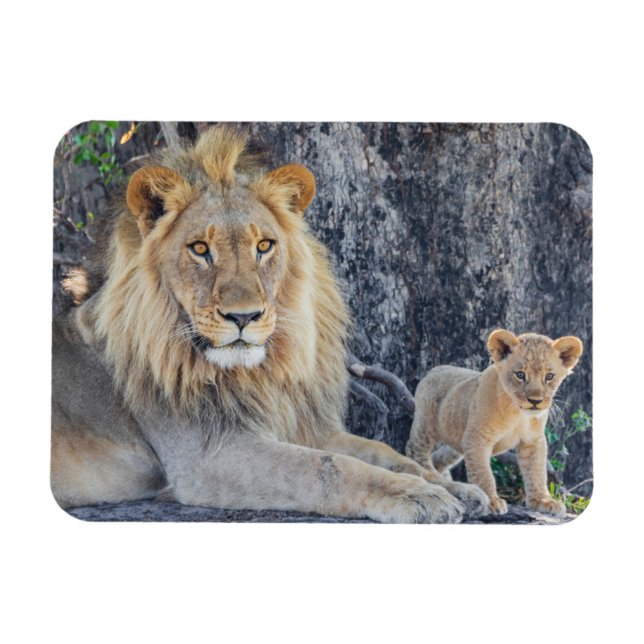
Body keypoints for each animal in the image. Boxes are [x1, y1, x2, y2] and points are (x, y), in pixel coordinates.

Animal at [51, 125, 488, 523]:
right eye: (199, 249)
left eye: (263, 246)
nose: (243, 317)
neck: (256, 375)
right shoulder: (209, 456)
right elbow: (328, 467)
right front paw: (418, 495)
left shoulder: (304, 427)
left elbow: (384, 452)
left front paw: (453, 487)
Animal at [406, 329, 583, 516]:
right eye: (520, 374)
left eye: (549, 376)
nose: (535, 401)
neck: (517, 413)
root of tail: (434, 369)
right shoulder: (477, 438)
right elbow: (483, 473)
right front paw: (491, 501)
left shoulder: (533, 440)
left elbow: (537, 471)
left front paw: (542, 501)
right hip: (426, 425)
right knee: (414, 449)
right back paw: (430, 473)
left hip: (457, 438)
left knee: (440, 456)